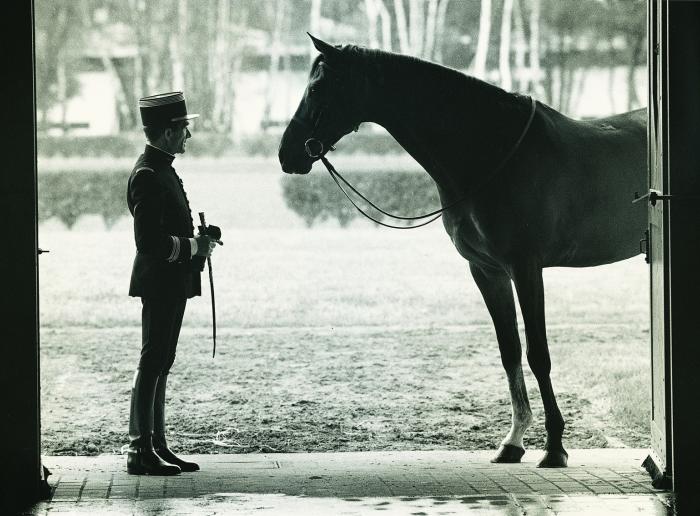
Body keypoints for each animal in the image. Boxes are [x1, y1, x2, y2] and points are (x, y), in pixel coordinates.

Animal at [276, 34, 648, 466]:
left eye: (318, 88)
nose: (287, 153)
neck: (491, 152)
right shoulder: (487, 270)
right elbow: (510, 351)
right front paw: (513, 441)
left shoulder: (526, 267)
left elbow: (538, 354)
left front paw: (555, 446)